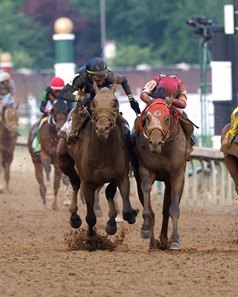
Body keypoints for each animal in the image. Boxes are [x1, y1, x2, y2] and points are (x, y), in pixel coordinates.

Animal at [57, 84, 138, 236]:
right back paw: (74, 217)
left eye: (115, 103)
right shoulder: (87, 182)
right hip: (64, 161)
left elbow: (120, 203)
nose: (102, 128)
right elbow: (90, 216)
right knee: (75, 182)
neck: (102, 152)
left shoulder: (121, 175)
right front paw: (91, 236)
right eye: (93, 103)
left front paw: (114, 223)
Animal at [133, 98, 192, 249]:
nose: (154, 142)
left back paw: (165, 239)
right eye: (147, 118)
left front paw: (175, 241)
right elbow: (147, 193)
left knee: (167, 209)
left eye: (166, 118)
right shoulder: (146, 170)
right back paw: (153, 244)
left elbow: (173, 208)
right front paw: (145, 228)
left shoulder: (177, 174)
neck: (163, 149)